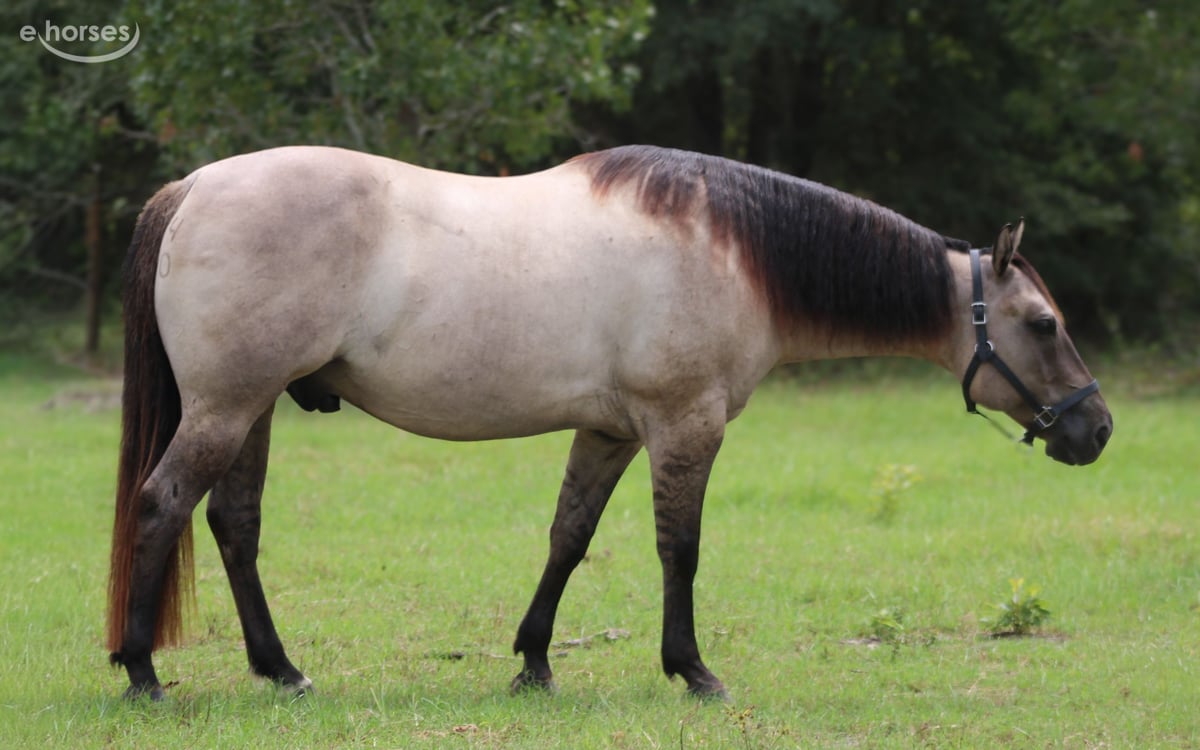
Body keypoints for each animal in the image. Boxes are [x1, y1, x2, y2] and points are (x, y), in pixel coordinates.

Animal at [106, 145, 1112, 701]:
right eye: (1043, 324)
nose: (1095, 429)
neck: (731, 249)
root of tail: (194, 187)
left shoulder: (612, 432)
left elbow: (569, 538)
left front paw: (533, 664)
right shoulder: (683, 427)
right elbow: (680, 550)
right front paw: (693, 671)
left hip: (251, 410)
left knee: (234, 527)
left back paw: (281, 670)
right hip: (228, 408)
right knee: (162, 506)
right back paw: (142, 672)